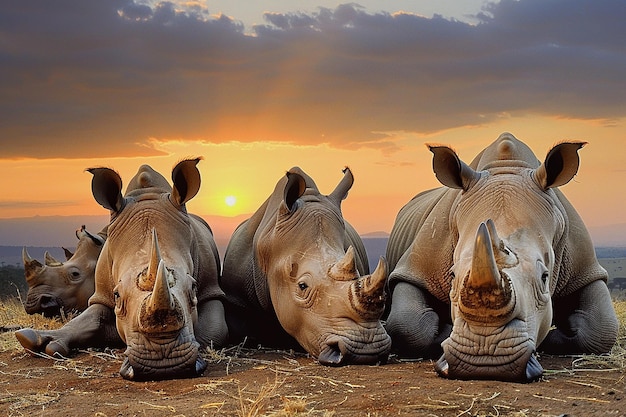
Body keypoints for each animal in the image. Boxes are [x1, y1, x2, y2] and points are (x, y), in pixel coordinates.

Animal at [15, 160, 227, 380]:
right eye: (116, 295)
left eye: (193, 289)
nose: (164, 363)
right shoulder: (100, 294)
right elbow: (88, 320)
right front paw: (38, 340)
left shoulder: (211, 290)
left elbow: (211, 331)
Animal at [382, 132, 616, 380]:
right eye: (452, 275)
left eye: (544, 277)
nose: (485, 360)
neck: (507, 169)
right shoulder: (415, 268)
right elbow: (407, 324)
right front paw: (444, 332)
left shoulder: (585, 269)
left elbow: (603, 327)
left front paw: (550, 339)